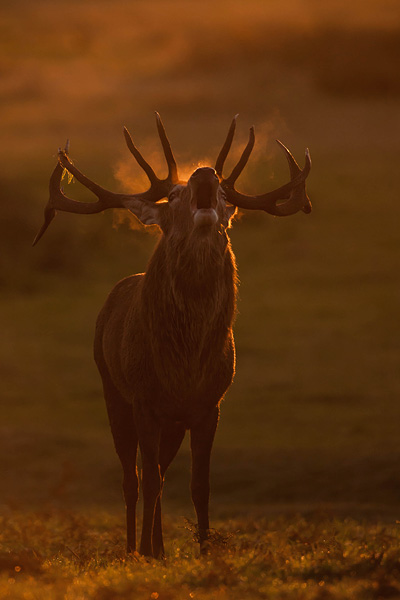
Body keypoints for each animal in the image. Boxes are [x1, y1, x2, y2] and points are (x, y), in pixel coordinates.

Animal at [32, 116, 310, 556]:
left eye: (224, 194)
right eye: (176, 194)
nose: (205, 173)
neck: (184, 363)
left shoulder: (209, 404)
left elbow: (199, 485)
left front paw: (204, 550)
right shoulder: (145, 399)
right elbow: (147, 480)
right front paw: (145, 551)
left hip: (171, 422)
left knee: (160, 473)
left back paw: (159, 547)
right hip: (112, 390)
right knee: (133, 478)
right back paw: (135, 547)